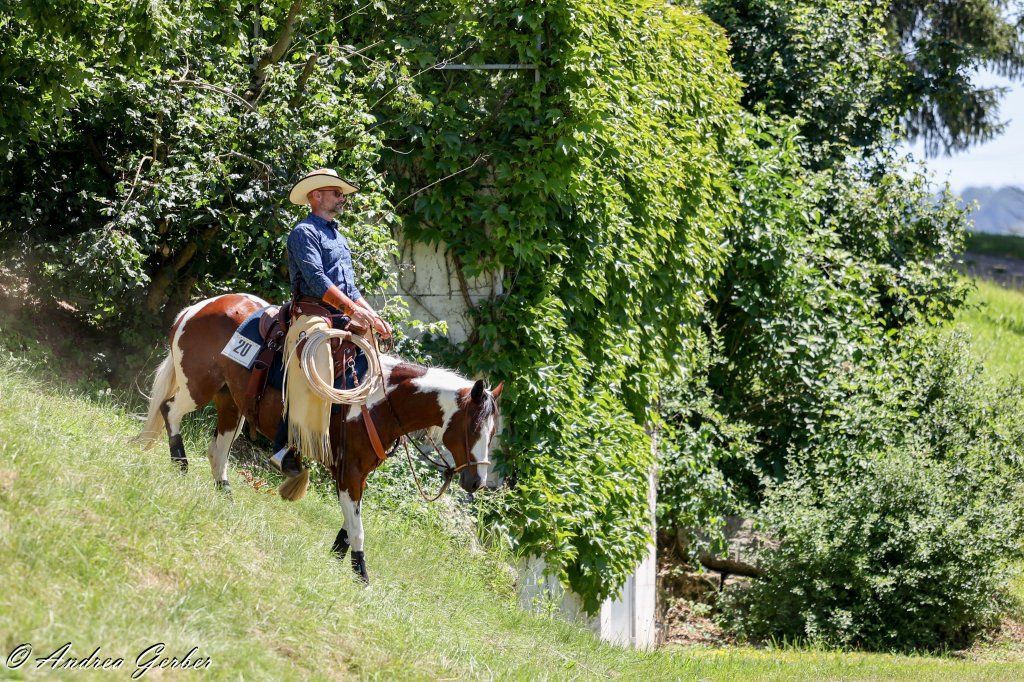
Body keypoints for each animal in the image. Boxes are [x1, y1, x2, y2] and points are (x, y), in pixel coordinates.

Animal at [135, 293, 503, 582]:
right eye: (473, 428)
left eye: (493, 432)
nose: (477, 482)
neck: (379, 400)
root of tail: (197, 308)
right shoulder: (349, 471)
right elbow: (357, 527)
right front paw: (361, 576)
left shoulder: (359, 472)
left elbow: (349, 525)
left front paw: (336, 558)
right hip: (198, 385)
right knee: (170, 412)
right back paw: (180, 466)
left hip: (231, 403)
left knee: (217, 451)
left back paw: (225, 496)